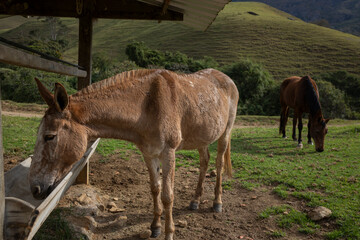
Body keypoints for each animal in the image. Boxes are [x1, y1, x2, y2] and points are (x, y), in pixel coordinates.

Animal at [28, 68, 239, 239]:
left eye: (49, 136)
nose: (35, 189)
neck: (148, 103)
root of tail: (227, 79)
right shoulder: (149, 154)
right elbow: (155, 189)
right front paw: (155, 227)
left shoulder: (168, 153)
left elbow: (167, 196)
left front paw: (169, 233)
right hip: (202, 138)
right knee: (204, 161)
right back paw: (195, 201)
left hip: (225, 133)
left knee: (219, 164)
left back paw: (217, 203)